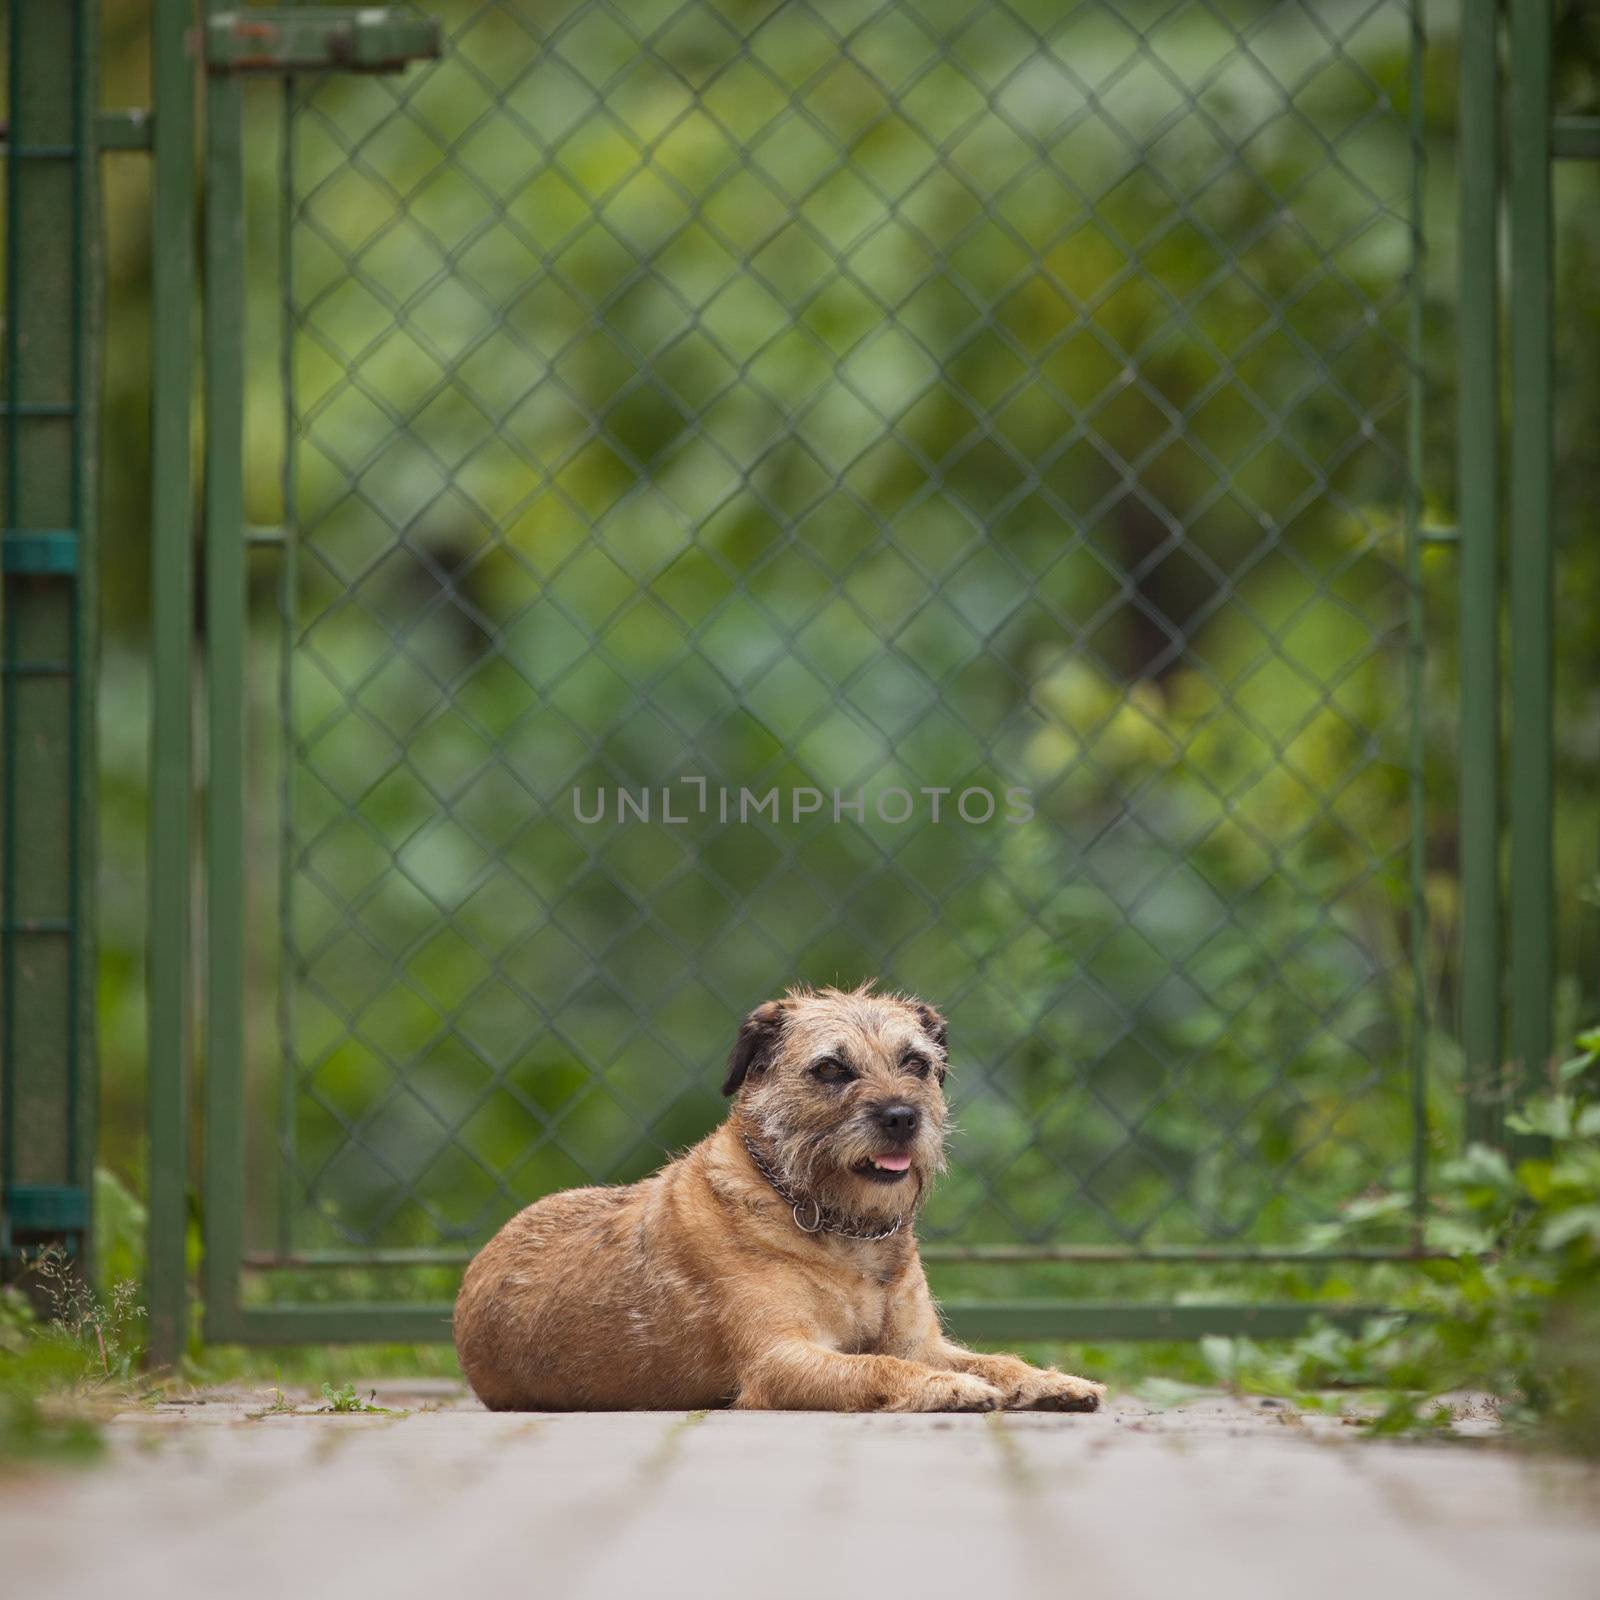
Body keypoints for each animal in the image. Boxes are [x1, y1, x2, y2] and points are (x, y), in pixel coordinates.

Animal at [451, 985, 1100, 1414]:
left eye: (915, 1062)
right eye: (832, 1069)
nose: (901, 1117)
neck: (842, 1229)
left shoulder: (923, 1342)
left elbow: (989, 1358)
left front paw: (1050, 1380)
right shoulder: (780, 1359)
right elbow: (877, 1364)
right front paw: (948, 1388)